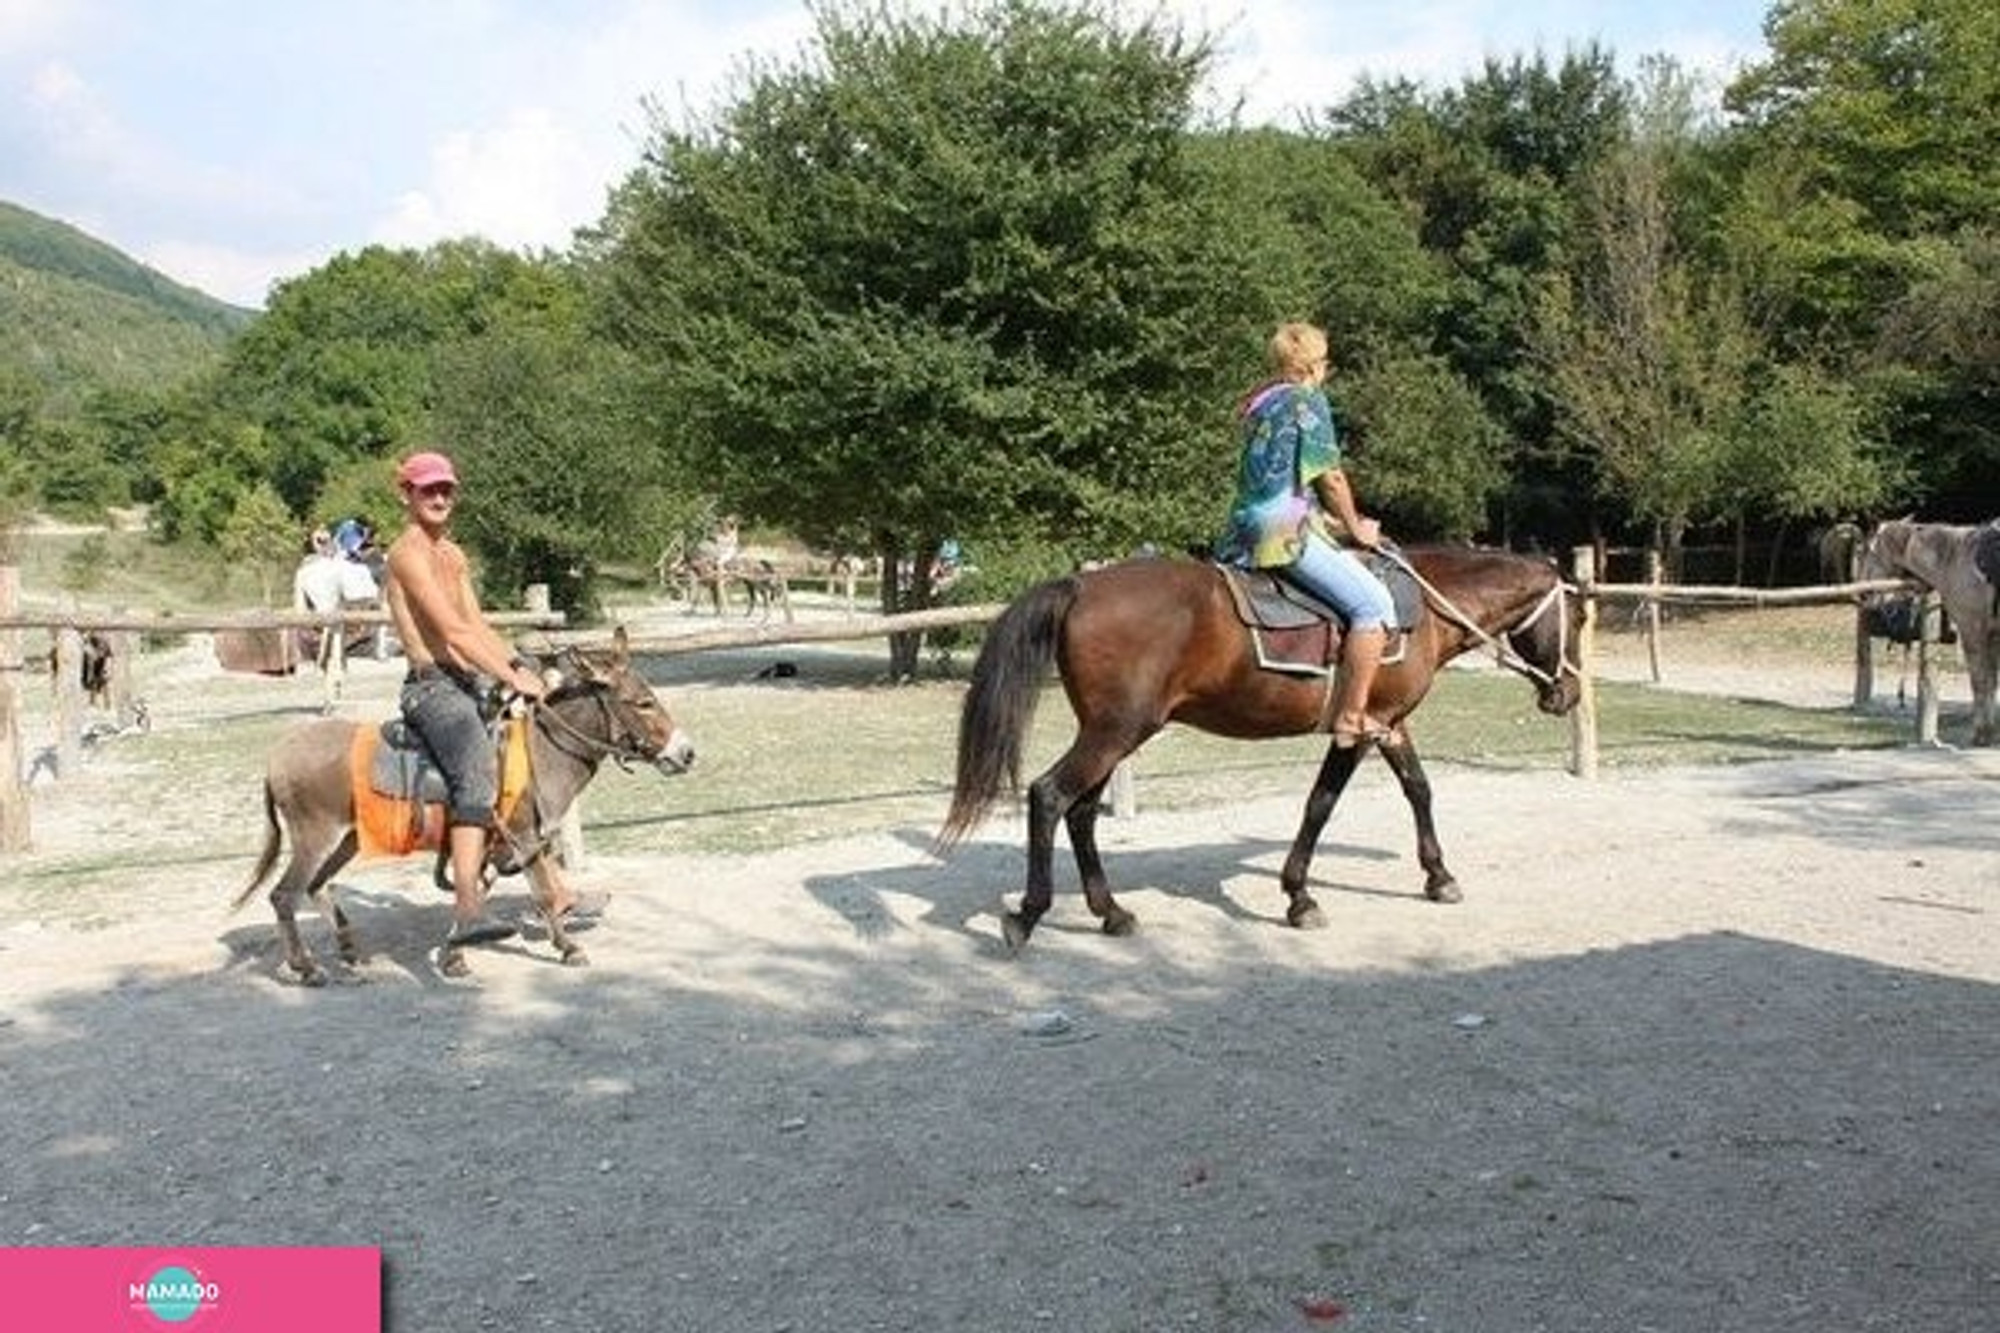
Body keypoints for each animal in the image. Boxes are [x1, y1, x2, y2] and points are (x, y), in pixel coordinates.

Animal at [226, 628, 692, 980]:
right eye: (643, 703)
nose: (686, 753)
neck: (541, 752)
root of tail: (278, 754)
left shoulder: (508, 842)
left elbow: (478, 890)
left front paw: (456, 950)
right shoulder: (522, 836)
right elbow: (542, 893)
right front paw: (567, 947)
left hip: (347, 839)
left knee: (316, 887)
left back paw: (349, 952)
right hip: (315, 836)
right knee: (285, 895)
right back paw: (305, 968)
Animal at [936, 548, 1576, 944]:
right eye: (1574, 621)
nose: (1567, 693)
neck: (1418, 610)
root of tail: (1080, 585)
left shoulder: (1390, 724)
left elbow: (1418, 789)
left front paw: (1438, 877)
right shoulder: (1359, 727)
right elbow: (1321, 805)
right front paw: (1299, 897)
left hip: (1111, 733)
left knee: (1082, 811)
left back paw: (1111, 913)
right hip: (1116, 731)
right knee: (1050, 796)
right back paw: (1028, 914)